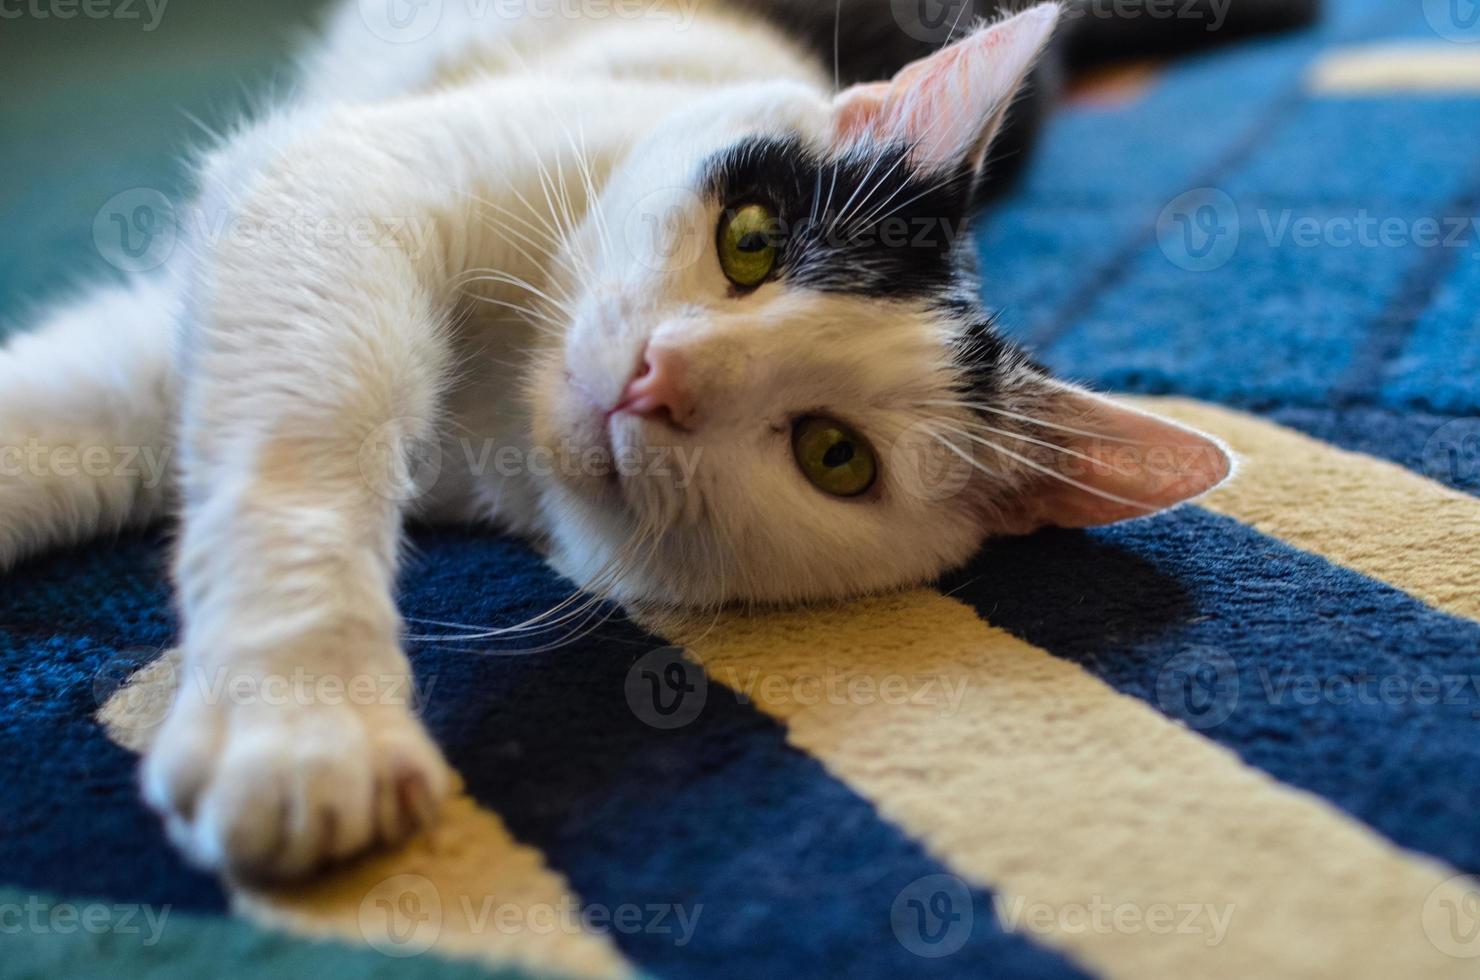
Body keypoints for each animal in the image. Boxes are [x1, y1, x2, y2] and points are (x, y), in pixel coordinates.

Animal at [0, 0, 1320, 876]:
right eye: (749, 239)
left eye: (834, 455)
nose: (657, 381)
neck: (490, 413)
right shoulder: (338, 185)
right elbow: (297, 435)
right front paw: (298, 718)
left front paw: (295, 725)